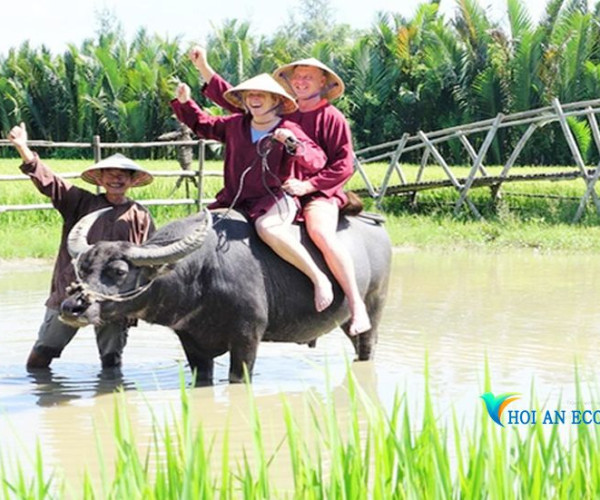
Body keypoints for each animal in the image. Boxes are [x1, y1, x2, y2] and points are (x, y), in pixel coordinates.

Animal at [58, 207, 392, 382]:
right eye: (82, 268)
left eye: (118, 271)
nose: (71, 306)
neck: (203, 275)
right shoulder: (191, 342)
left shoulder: (247, 337)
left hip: (374, 308)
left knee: (367, 347)